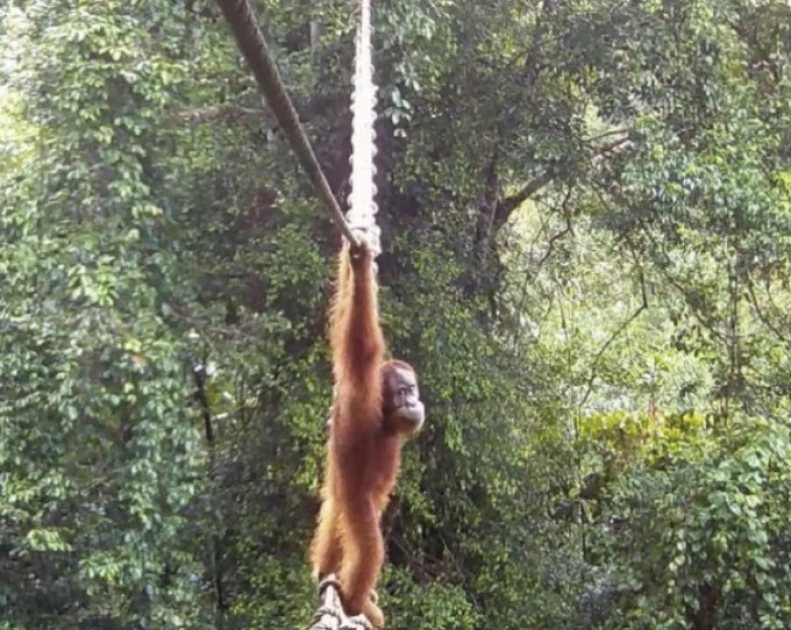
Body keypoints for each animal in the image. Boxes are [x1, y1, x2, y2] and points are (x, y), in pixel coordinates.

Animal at [310, 239, 425, 627]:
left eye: (413, 390)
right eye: (403, 392)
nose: (414, 402)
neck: (384, 419)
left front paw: (356, 263)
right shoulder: (362, 390)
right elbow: (361, 342)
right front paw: (360, 268)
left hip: (338, 499)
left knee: (333, 520)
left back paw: (326, 575)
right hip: (355, 503)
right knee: (369, 545)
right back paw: (355, 600)